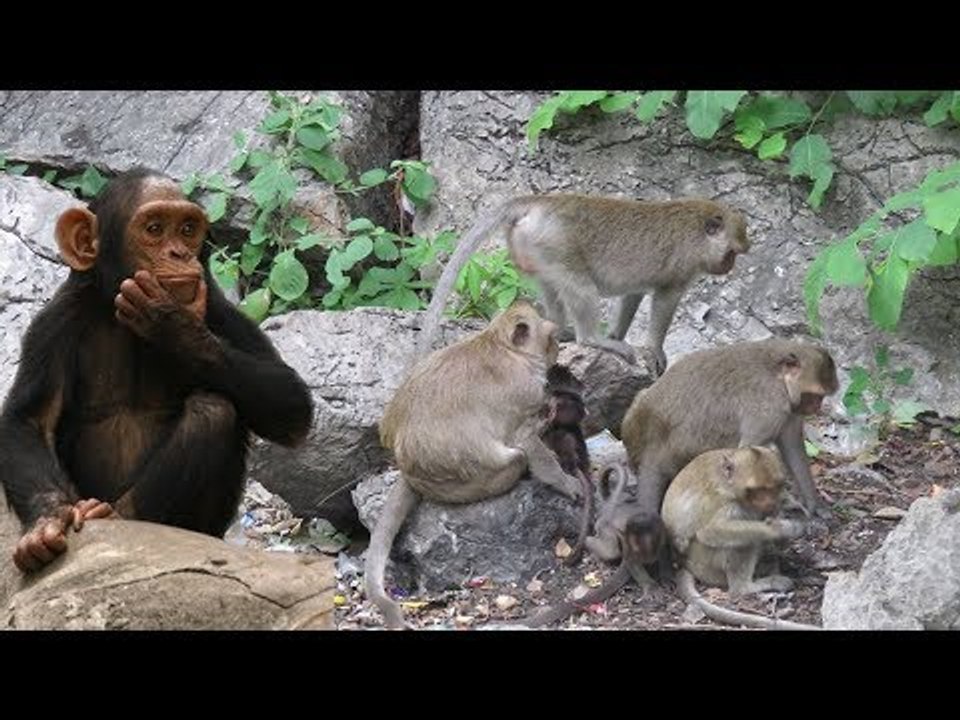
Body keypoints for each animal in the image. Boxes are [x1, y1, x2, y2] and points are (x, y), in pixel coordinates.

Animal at [365, 301, 584, 629]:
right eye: (552, 336)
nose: (559, 348)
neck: (506, 348)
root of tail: (408, 472)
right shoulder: (526, 397)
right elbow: (528, 443)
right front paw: (566, 482)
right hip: (478, 481)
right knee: (516, 457)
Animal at [416, 194, 750, 375]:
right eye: (732, 252)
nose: (729, 266)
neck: (697, 229)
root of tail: (541, 202)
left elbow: (633, 294)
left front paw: (616, 333)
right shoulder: (682, 268)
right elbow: (664, 301)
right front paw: (653, 349)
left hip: (535, 248)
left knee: (551, 286)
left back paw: (559, 328)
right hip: (554, 243)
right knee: (580, 286)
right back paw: (591, 339)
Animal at [524, 464, 666, 628]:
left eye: (648, 543)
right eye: (635, 544)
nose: (646, 553)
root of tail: (609, 504)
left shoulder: (661, 533)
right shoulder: (629, 542)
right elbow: (631, 562)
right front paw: (650, 586)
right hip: (603, 525)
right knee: (611, 550)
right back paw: (587, 542)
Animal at [621, 338, 839, 524]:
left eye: (821, 397)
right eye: (814, 395)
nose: (818, 407)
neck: (778, 375)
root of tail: (653, 449)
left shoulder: (791, 410)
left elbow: (792, 446)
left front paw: (814, 504)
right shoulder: (769, 407)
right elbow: (750, 449)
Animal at [661, 447, 820, 630]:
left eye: (773, 488)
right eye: (756, 490)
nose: (769, 502)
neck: (728, 483)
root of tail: (684, 563)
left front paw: (795, 508)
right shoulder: (723, 500)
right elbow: (711, 531)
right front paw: (784, 529)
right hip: (705, 564)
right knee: (743, 533)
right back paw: (747, 587)